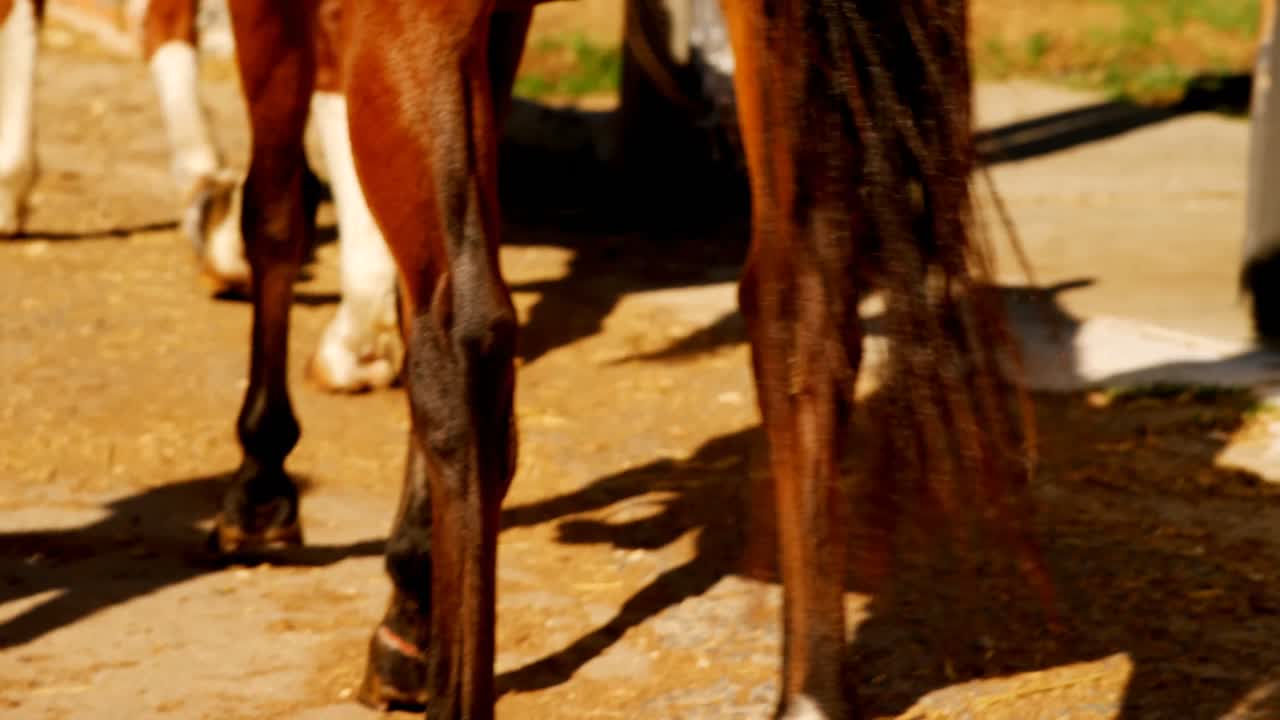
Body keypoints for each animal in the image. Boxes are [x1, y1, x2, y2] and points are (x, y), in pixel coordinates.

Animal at [216, 0, 1045, 717]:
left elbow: (277, 215)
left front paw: (263, 483)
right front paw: (412, 611)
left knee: (461, 338)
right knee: (801, 306)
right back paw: (810, 696)